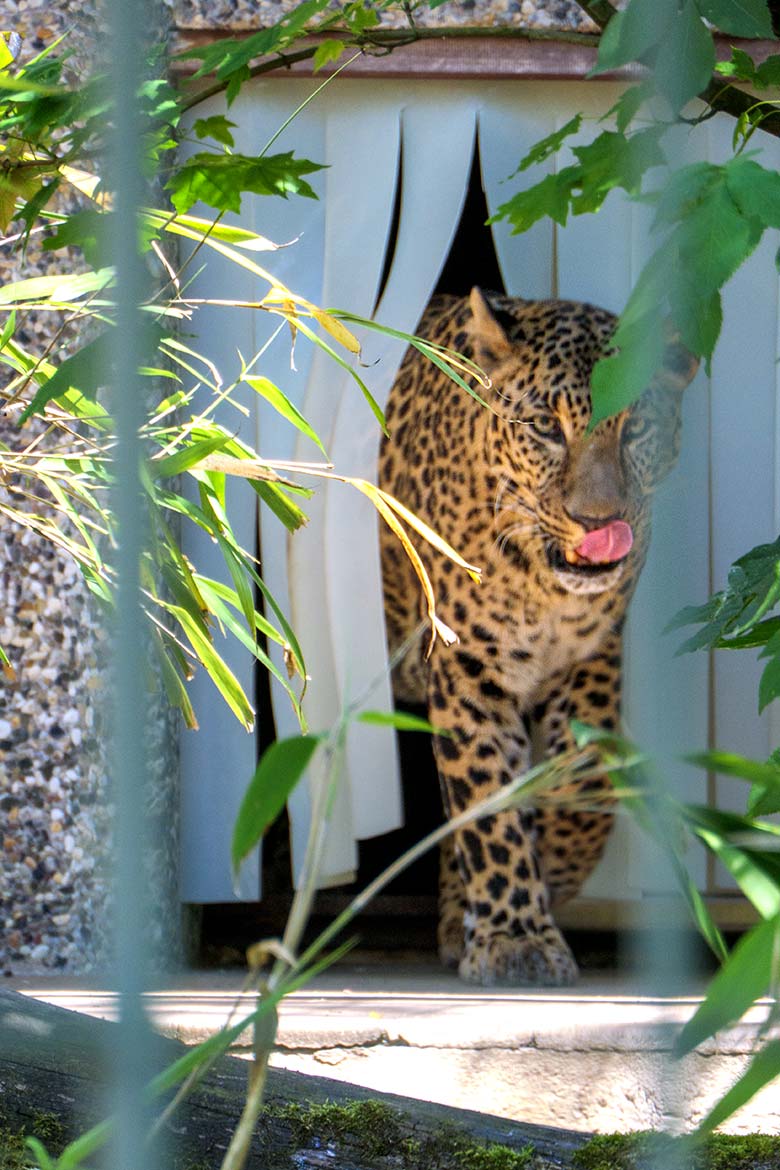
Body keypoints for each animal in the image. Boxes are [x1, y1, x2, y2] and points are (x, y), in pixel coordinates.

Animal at [374, 285, 696, 987]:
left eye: (636, 428)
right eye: (547, 428)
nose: (598, 522)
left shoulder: (594, 655)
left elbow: (587, 780)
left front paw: (548, 876)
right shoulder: (469, 667)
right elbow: (488, 799)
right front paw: (514, 937)